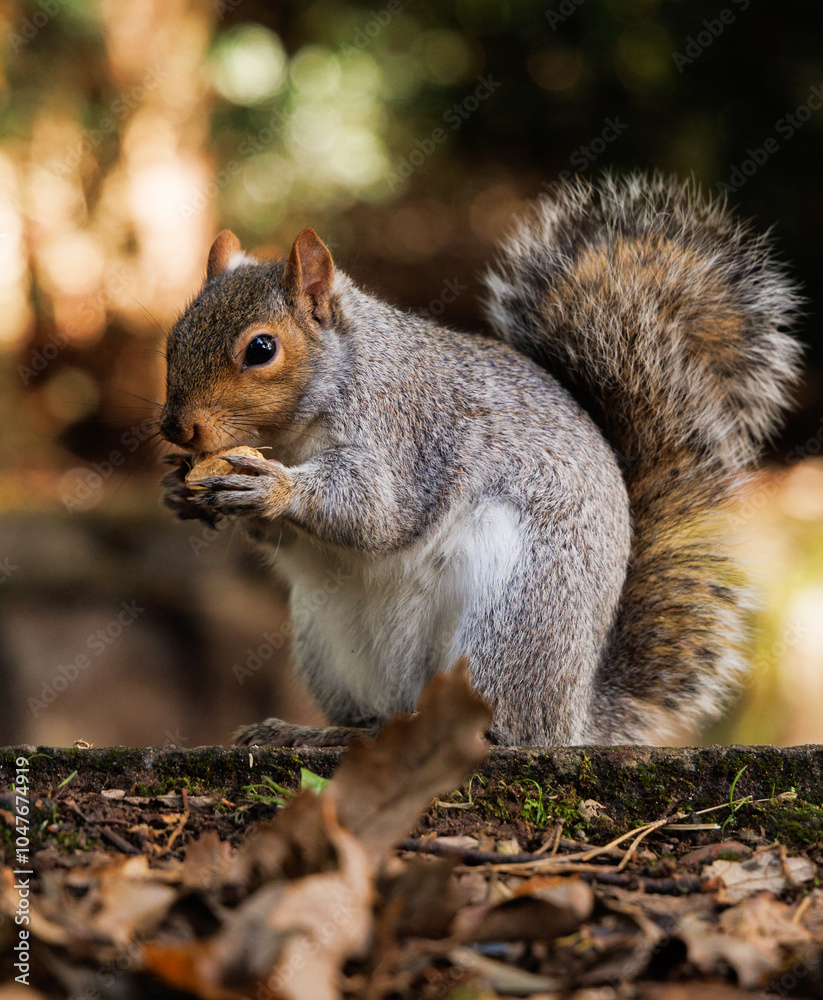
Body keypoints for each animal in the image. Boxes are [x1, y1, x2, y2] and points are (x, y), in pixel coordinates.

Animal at [160, 173, 802, 747]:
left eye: (261, 349)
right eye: (173, 339)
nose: (174, 428)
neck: (296, 434)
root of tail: (573, 720)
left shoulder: (408, 435)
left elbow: (378, 512)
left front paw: (273, 489)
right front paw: (180, 492)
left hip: (512, 621)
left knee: (494, 730)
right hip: (327, 646)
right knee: (383, 718)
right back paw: (311, 731)